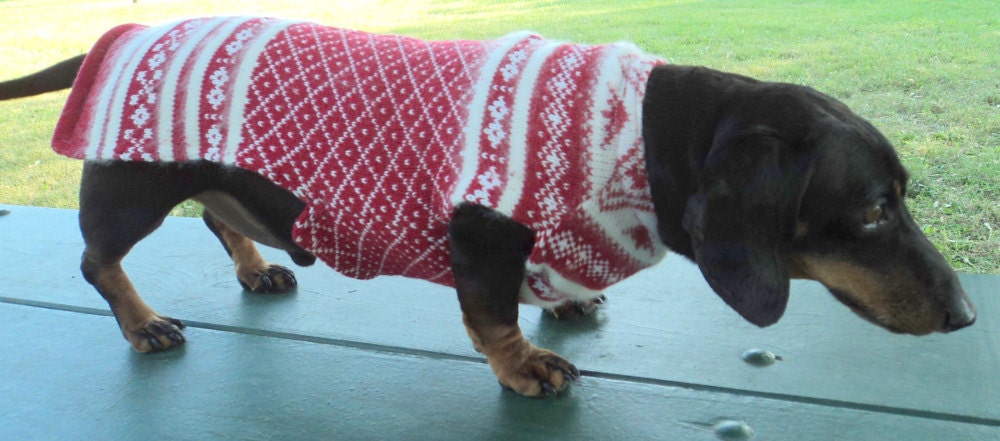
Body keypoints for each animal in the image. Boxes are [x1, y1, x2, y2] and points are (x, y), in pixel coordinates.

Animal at [0, 17, 968, 398]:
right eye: (874, 210)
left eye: (901, 198)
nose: (965, 314)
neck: (640, 131)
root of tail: (119, 34)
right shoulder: (484, 231)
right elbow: (491, 313)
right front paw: (525, 364)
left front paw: (565, 301)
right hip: (129, 187)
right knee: (97, 258)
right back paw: (143, 321)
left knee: (220, 216)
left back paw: (256, 265)